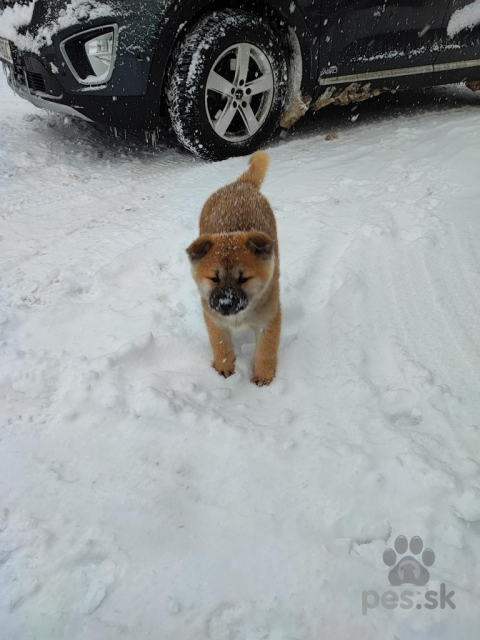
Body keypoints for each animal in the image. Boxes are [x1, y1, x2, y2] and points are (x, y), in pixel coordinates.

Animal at [186, 152, 280, 384]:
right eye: (214, 278)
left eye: (243, 278)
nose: (225, 304)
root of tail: (240, 184)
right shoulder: (213, 318)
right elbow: (221, 345)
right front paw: (224, 368)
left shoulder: (269, 317)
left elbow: (267, 349)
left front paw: (264, 376)